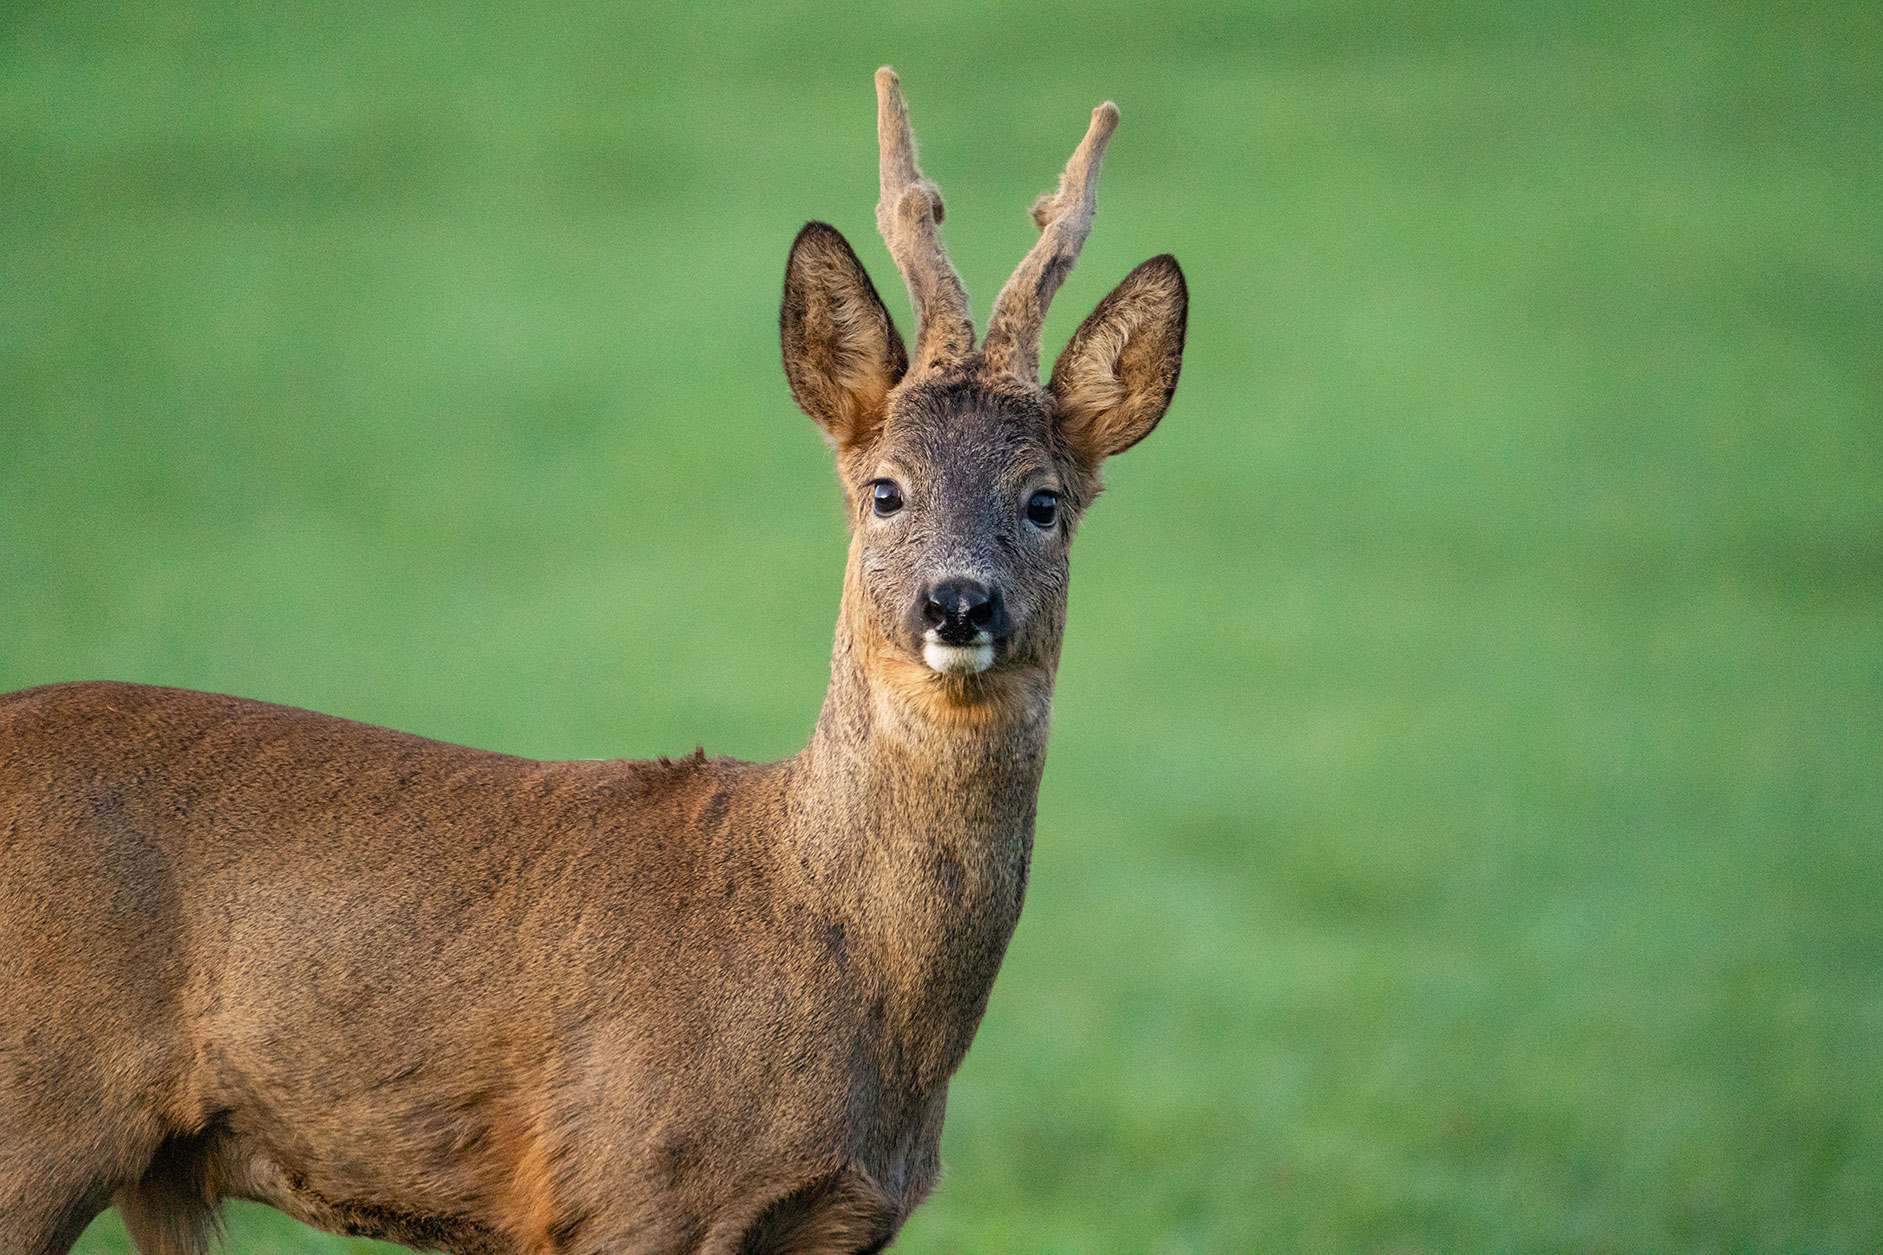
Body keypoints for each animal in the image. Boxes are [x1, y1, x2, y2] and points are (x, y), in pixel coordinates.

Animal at [0, 68, 1186, 1255]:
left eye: (1043, 501)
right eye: (884, 490)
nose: (958, 601)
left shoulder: (838, 1222)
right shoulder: (626, 1182)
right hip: (40, 1113)